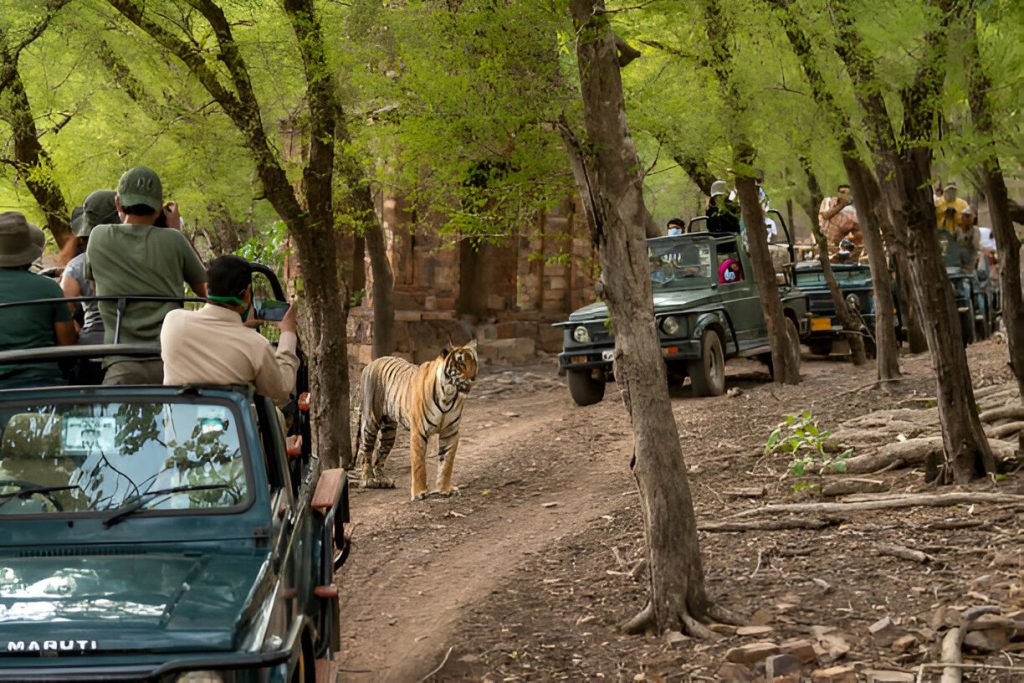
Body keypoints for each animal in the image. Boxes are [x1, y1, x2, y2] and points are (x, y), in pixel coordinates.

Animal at [355, 341, 478, 500]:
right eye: (461, 362)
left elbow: (447, 463)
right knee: (365, 451)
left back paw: (382, 480)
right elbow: (419, 464)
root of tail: (371, 363)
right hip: (370, 421)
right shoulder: (419, 432)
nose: (473, 377)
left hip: (389, 431)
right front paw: (419, 492)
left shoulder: (450, 433)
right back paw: (367, 480)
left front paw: (445, 489)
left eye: (474, 362)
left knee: (380, 454)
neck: (448, 395)